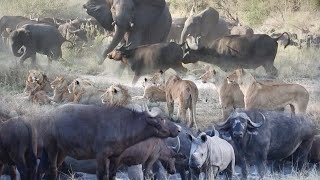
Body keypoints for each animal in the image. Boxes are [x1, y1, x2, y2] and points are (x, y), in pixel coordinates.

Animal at [34, 104, 180, 180]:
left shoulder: (115, 157)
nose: (178, 129)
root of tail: (46, 116)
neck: (122, 126)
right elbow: (102, 175)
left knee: (44, 169)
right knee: (52, 169)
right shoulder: (101, 156)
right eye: (161, 119)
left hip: (61, 152)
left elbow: (112, 175)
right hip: (52, 148)